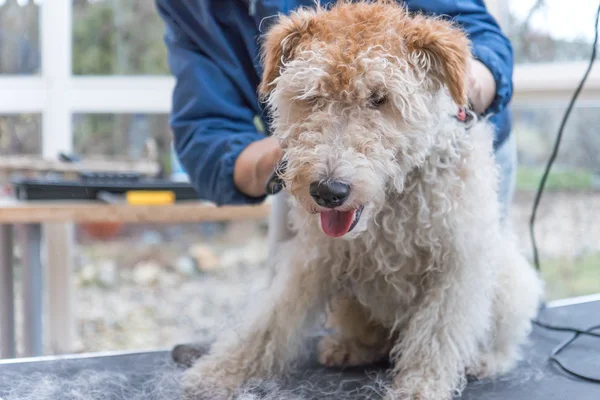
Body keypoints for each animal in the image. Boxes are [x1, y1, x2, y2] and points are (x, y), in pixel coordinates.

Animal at [183, 1, 544, 398]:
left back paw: (485, 360)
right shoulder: (313, 257)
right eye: (312, 96)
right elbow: (271, 319)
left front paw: (418, 388)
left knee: (502, 341)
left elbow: (436, 337)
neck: (393, 206)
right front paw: (218, 371)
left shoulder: (457, 263)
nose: (328, 191)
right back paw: (348, 348)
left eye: (379, 98)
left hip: (509, 281)